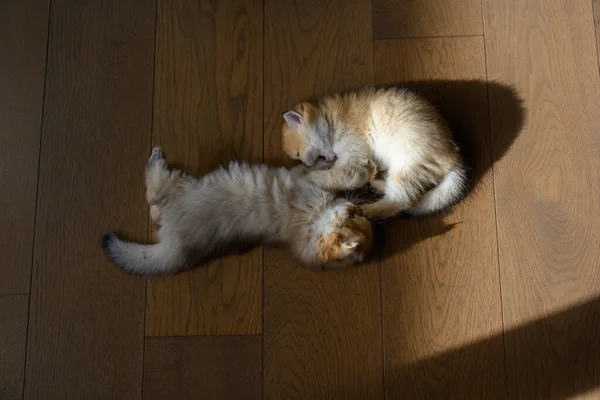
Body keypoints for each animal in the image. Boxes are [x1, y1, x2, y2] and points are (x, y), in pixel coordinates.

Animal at [103, 147, 376, 276]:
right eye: (355, 215)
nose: (354, 207)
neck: (313, 221)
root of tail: (175, 247)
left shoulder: (308, 181)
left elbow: (340, 175)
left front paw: (361, 170)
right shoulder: (304, 177)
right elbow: (328, 172)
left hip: (178, 187)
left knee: (154, 188)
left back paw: (157, 155)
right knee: (153, 205)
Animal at [282, 85, 468, 220]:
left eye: (297, 154)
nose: (305, 163)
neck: (332, 119)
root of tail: (454, 158)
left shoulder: (356, 162)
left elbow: (332, 176)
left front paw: (300, 178)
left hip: (407, 167)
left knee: (399, 202)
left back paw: (369, 210)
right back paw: (376, 185)